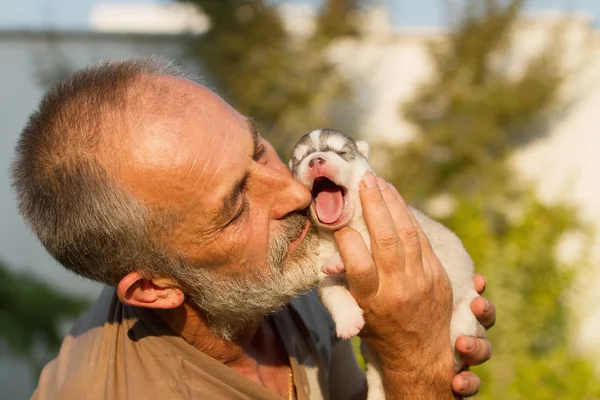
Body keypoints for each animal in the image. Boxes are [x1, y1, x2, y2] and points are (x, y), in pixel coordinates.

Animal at [288, 130, 486, 398]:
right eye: (299, 159)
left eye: (341, 152)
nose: (316, 160)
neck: (342, 230)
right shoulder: (323, 273)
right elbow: (334, 293)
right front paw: (348, 322)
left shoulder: (394, 232)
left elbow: (367, 241)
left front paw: (342, 259)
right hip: (370, 354)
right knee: (376, 378)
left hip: (463, 323)